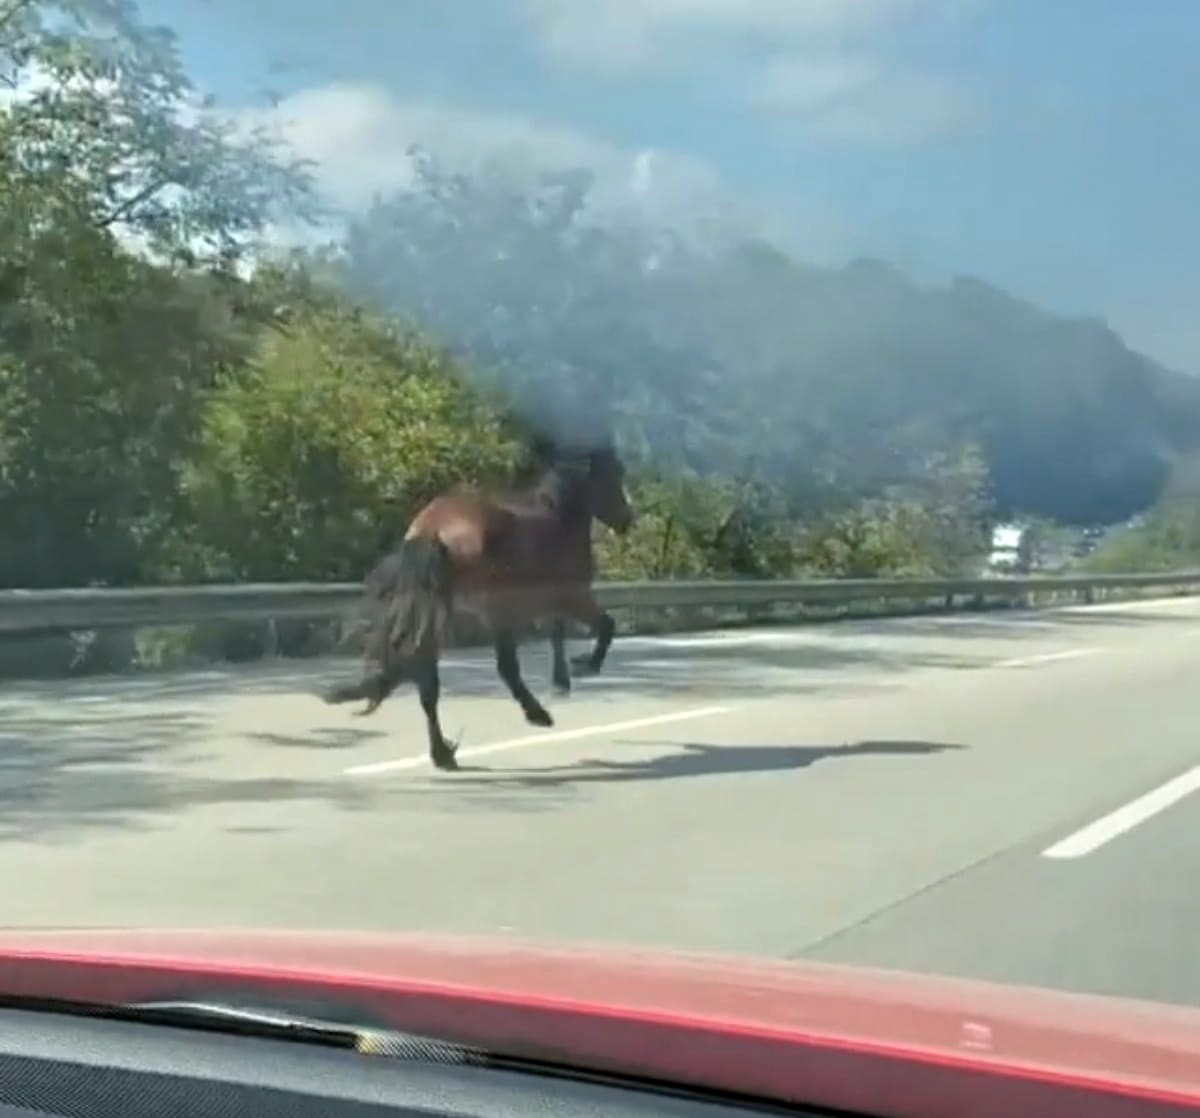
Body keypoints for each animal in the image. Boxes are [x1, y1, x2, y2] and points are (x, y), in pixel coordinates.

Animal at [319, 441, 638, 772]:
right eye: (614, 472)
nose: (627, 519)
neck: (558, 518)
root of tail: (432, 530)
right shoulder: (572, 597)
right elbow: (605, 625)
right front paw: (586, 666)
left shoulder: (548, 603)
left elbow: (558, 634)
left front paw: (563, 679)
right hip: (491, 613)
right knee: (503, 669)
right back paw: (535, 714)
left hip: (441, 615)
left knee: (428, 683)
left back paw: (442, 753)